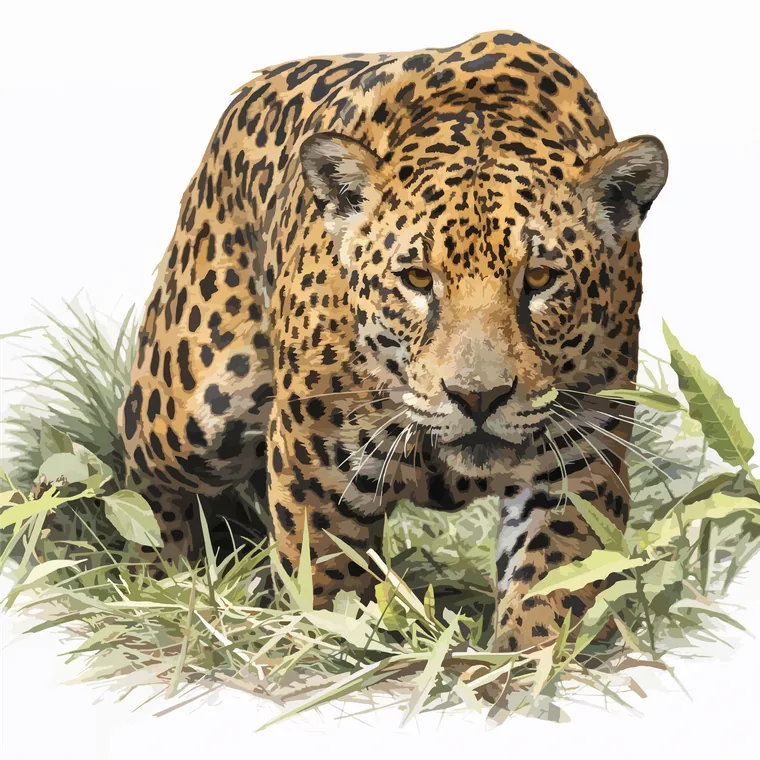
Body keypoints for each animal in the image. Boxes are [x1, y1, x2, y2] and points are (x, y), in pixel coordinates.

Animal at [118, 29, 668, 653]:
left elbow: (553, 586)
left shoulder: (577, 458)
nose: (478, 398)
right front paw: (331, 647)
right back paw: (155, 580)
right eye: (418, 279)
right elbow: (328, 577)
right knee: (142, 469)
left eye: (540, 279)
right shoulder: (316, 464)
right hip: (195, 412)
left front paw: (525, 662)